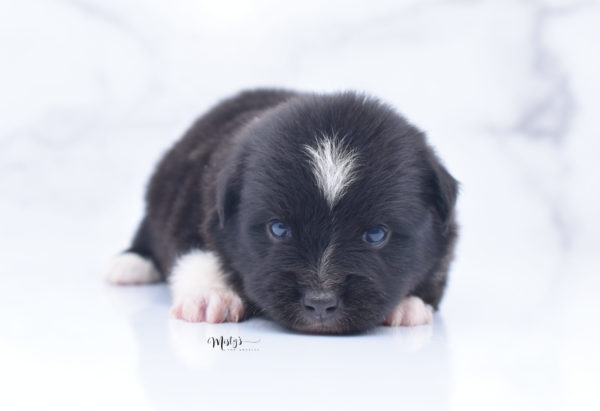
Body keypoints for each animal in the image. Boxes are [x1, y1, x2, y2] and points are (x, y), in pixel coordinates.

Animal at [104, 89, 460, 334]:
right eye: (278, 229)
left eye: (376, 235)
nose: (320, 303)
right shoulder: (192, 207)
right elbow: (196, 254)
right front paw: (211, 296)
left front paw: (409, 304)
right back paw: (130, 265)